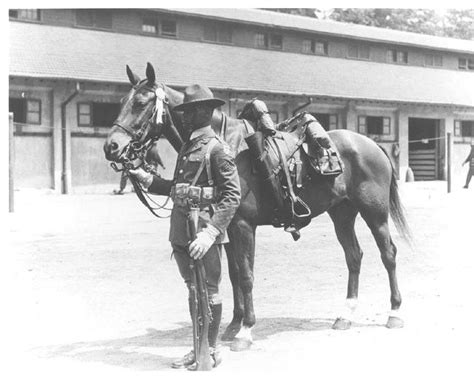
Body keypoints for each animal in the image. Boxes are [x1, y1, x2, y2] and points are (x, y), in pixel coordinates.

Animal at [103, 63, 412, 352]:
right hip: (342, 215)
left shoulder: (243, 225)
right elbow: (234, 275)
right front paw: (233, 325)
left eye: (141, 103)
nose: (112, 147)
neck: (225, 143)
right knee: (354, 256)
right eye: (121, 102)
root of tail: (372, 144)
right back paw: (345, 315)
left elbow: (247, 276)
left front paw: (246, 330)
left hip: (375, 214)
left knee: (388, 254)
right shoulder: (226, 227)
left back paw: (395, 312)